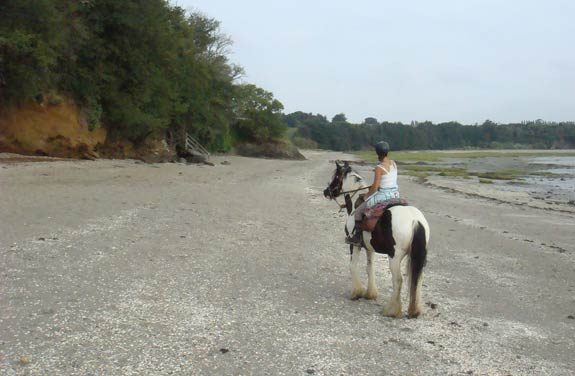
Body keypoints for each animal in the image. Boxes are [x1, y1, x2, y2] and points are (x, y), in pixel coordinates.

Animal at [322, 161, 430, 318]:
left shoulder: (354, 245)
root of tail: (415, 220)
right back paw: (414, 310)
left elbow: (352, 266)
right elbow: (370, 268)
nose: (326, 191)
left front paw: (356, 292)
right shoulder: (369, 247)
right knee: (419, 278)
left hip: (394, 257)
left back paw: (392, 310)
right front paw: (370, 293)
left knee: (398, 280)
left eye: (336, 177)